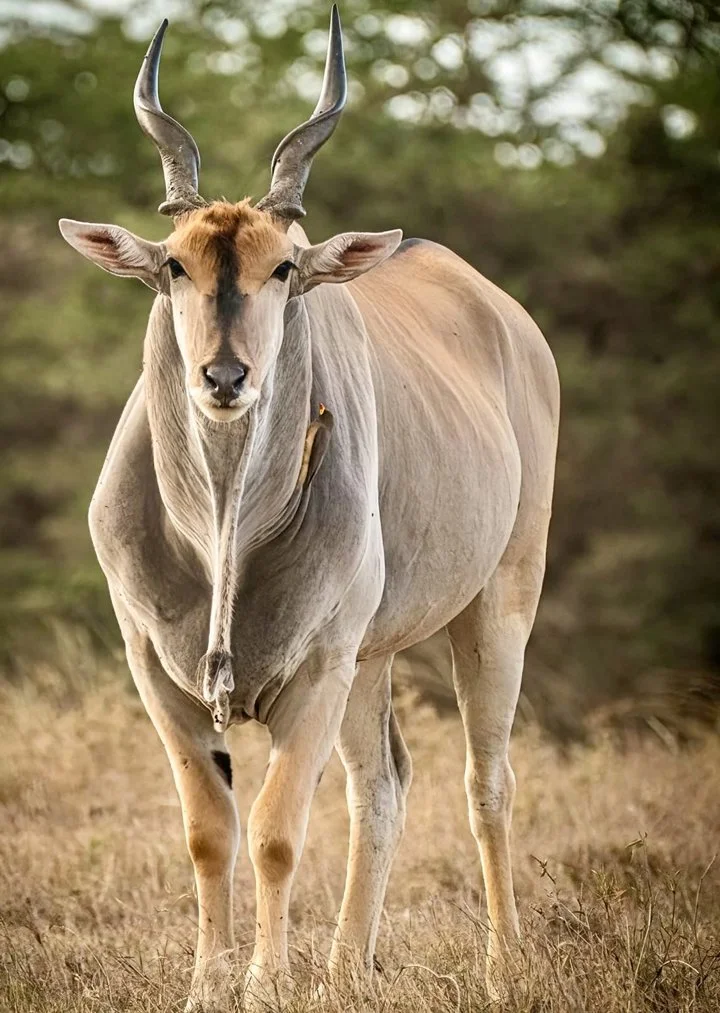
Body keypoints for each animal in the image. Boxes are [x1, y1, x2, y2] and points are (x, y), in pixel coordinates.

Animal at [58, 7, 559, 1010]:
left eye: (285, 267)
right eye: (174, 265)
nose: (225, 376)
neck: (222, 531)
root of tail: (509, 321)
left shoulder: (318, 669)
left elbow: (275, 832)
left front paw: (262, 982)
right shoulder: (156, 670)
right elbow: (209, 829)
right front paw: (209, 984)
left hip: (493, 609)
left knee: (486, 781)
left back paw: (499, 964)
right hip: (372, 658)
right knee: (385, 785)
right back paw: (345, 968)